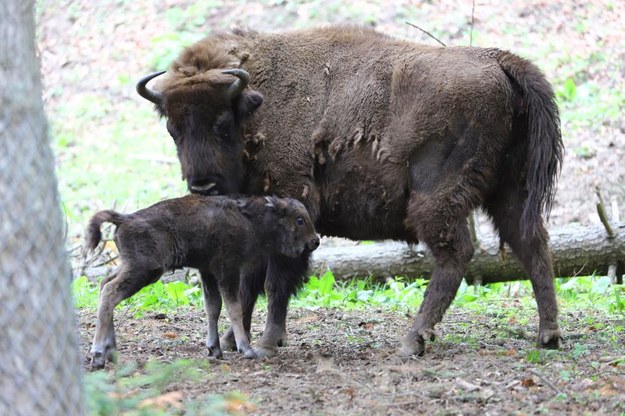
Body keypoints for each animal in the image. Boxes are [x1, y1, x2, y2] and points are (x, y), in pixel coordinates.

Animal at [85, 193, 320, 368]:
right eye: (300, 219)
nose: (315, 241)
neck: (251, 219)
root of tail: (124, 218)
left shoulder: (208, 273)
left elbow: (212, 308)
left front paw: (214, 349)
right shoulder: (228, 271)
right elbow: (234, 309)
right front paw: (246, 350)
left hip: (130, 267)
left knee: (104, 285)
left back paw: (111, 352)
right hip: (144, 271)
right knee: (110, 293)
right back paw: (98, 355)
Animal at [135, 26, 560, 358]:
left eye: (222, 123)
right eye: (173, 127)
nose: (202, 185)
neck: (256, 101)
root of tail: (499, 60)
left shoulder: (294, 204)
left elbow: (276, 279)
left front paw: (270, 342)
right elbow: (249, 285)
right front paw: (233, 340)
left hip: (437, 200)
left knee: (456, 254)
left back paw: (413, 340)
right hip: (510, 192)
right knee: (532, 244)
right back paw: (548, 335)